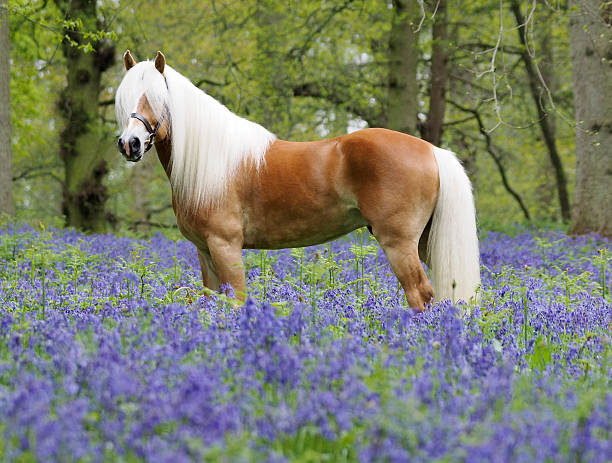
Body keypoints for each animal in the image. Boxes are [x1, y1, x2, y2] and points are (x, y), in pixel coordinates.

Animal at [113, 51, 478, 312]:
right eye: (125, 98)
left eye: (156, 98)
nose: (130, 144)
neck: (212, 159)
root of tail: (431, 149)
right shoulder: (205, 250)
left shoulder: (225, 245)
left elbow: (236, 301)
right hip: (423, 242)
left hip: (399, 243)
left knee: (420, 294)